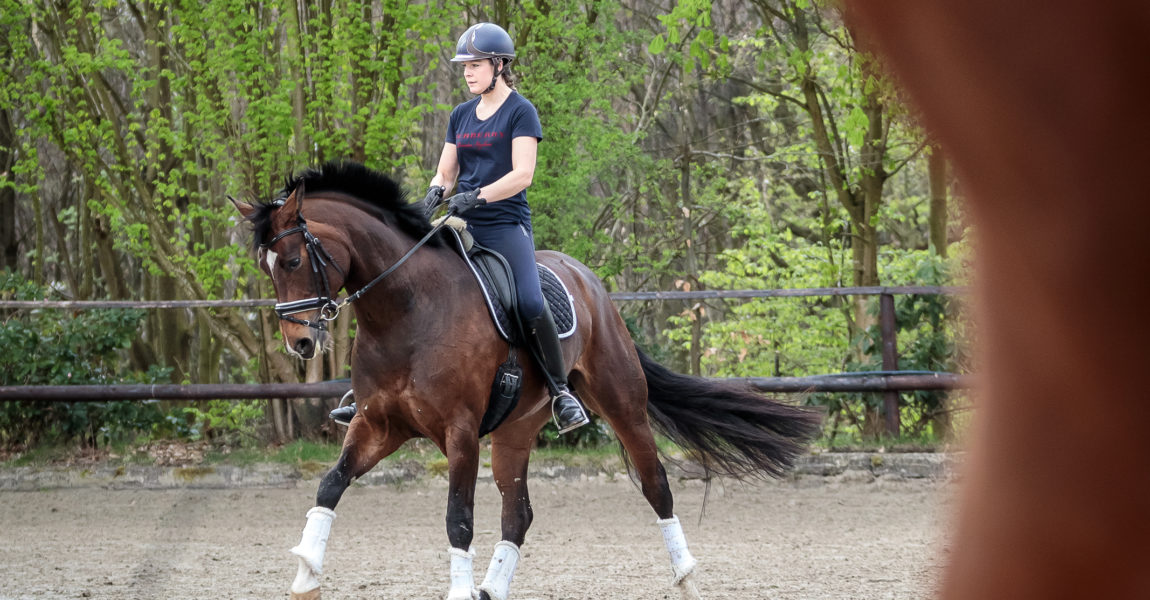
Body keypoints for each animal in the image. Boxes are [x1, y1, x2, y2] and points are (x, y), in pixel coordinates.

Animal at [231, 160, 828, 597]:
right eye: (265, 266)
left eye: (290, 260)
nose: (300, 344)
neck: (405, 309)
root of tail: (589, 280)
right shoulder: (378, 424)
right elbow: (329, 486)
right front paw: (305, 574)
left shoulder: (459, 432)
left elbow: (458, 520)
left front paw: (456, 592)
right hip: (515, 431)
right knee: (518, 514)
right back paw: (493, 590)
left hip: (621, 404)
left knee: (656, 486)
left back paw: (685, 577)